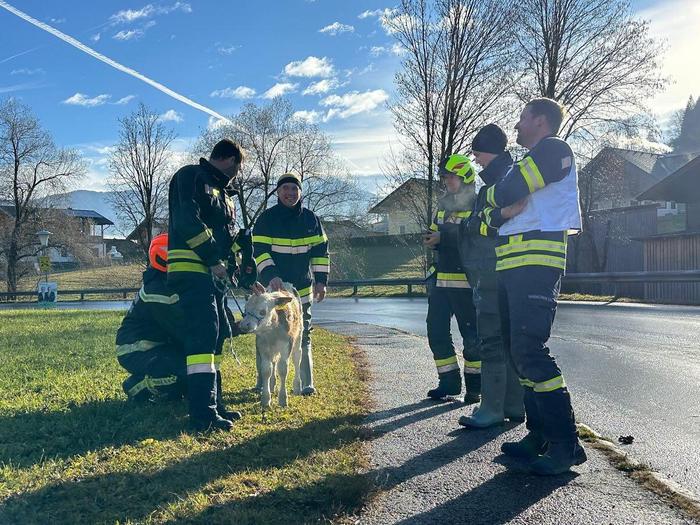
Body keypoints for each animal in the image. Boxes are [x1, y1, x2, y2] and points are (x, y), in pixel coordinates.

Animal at [239, 282, 302, 410]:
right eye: (245, 309)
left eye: (262, 311)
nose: (243, 325)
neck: (272, 330)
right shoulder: (263, 346)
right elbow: (266, 370)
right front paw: (265, 399)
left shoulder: (286, 346)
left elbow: (283, 370)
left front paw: (283, 399)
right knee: (274, 363)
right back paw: (272, 386)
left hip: (298, 337)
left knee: (297, 359)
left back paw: (297, 387)